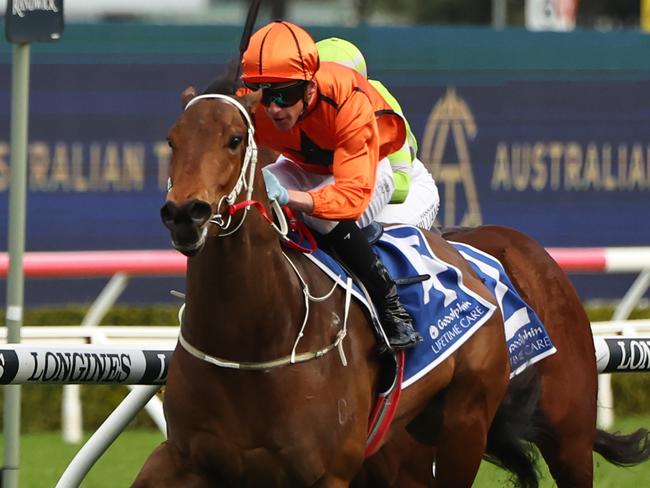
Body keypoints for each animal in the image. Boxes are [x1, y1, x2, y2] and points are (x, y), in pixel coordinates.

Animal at [130, 89, 516, 486]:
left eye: (234, 140)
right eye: (172, 140)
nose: (184, 214)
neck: (251, 342)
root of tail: (463, 259)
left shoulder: (328, 473)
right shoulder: (182, 457)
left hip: (465, 422)